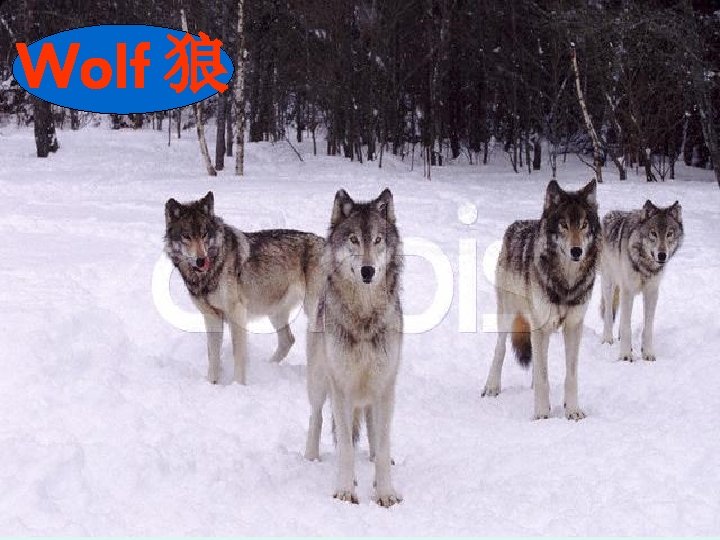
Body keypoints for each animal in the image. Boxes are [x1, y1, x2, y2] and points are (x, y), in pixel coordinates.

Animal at [164, 191, 324, 384]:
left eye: (204, 234)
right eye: (186, 236)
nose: (201, 260)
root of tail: (326, 242)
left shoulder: (237, 314)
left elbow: (238, 356)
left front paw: (237, 386)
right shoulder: (211, 317)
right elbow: (213, 357)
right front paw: (211, 384)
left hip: (313, 314)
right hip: (275, 312)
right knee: (288, 340)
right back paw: (268, 367)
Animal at [304, 188, 403, 507]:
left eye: (378, 240)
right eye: (354, 240)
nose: (368, 270)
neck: (364, 315)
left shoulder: (385, 385)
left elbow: (383, 445)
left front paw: (385, 492)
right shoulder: (342, 387)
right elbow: (346, 446)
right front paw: (346, 490)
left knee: (372, 431)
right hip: (319, 382)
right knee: (316, 416)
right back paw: (310, 457)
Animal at [482, 179, 600, 421]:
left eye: (584, 225)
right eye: (564, 225)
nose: (577, 251)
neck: (566, 283)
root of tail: (516, 224)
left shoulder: (573, 326)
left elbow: (570, 375)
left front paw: (572, 410)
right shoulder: (541, 327)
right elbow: (543, 376)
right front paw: (542, 414)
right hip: (508, 315)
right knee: (500, 349)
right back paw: (492, 387)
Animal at [600, 200, 683, 362]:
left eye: (669, 234)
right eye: (653, 233)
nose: (662, 255)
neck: (646, 265)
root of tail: (609, 214)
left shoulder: (651, 292)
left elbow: (648, 327)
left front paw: (648, 353)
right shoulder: (627, 290)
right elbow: (627, 326)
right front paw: (625, 355)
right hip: (609, 283)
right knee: (608, 313)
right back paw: (607, 340)